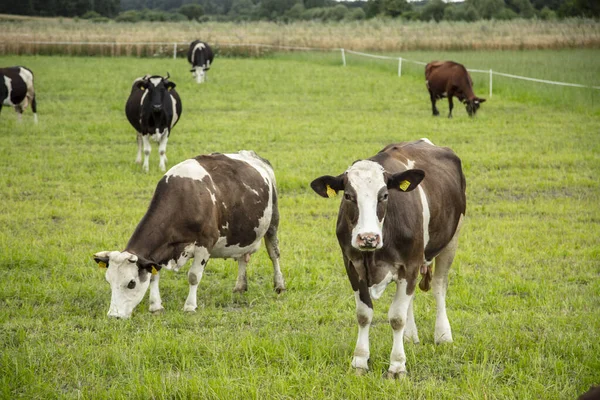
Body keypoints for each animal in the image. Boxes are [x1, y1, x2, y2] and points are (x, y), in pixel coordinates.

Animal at [93, 150, 286, 318]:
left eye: (131, 283)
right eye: (109, 281)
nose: (113, 316)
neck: (184, 198)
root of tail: (253, 156)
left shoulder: (205, 243)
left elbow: (193, 276)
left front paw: (190, 306)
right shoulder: (159, 252)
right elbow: (154, 276)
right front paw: (156, 306)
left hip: (273, 221)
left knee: (274, 254)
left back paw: (279, 285)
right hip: (242, 232)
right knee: (242, 258)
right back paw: (240, 286)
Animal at [312, 140, 466, 378]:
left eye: (384, 195)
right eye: (348, 196)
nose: (368, 237)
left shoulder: (410, 265)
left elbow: (396, 317)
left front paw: (397, 366)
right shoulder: (352, 266)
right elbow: (364, 314)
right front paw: (360, 361)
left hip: (451, 239)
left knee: (439, 286)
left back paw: (443, 335)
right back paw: (410, 337)